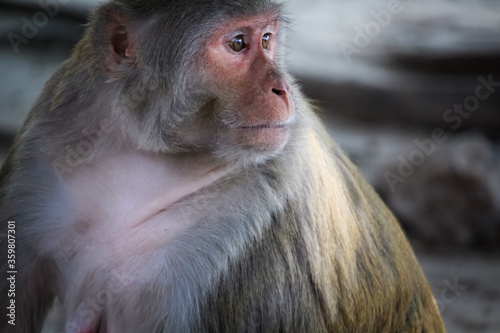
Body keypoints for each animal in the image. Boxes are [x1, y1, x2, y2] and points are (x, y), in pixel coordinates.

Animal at [0, 0, 446, 330]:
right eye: (237, 43)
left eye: (266, 38)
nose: (282, 88)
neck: (147, 149)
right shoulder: (41, 154)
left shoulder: (259, 208)